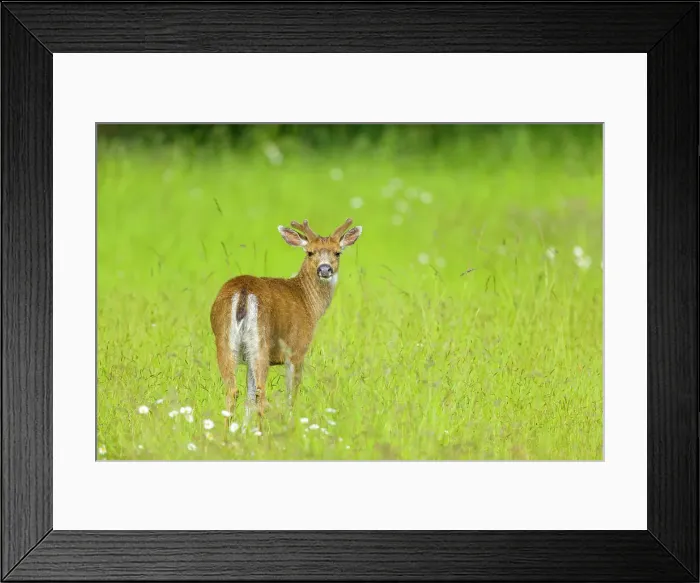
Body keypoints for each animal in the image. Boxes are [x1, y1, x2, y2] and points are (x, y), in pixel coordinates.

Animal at [210, 218, 362, 428]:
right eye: (310, 252)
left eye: (337, 252)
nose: (324, 269)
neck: (308, 302)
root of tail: (243, 291)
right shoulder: (297, 350)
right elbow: (291, 397)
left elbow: (249, 399)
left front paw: (243, 430)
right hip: (261, 342)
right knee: (261, 393)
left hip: (225, 341)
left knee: (233, 391)